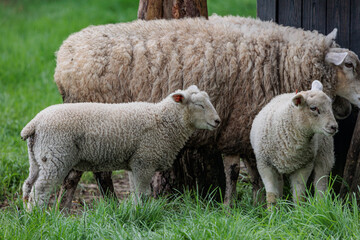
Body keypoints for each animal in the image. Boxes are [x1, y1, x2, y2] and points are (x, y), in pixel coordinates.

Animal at [21, 85, 219, 210]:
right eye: (199, 105)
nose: (218, 121)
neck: (164, 120)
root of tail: (34, 123)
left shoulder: (135, 163)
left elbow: (136, 192)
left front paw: (136, 210)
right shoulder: (145, 161)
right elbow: (143, 193)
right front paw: (141, 212)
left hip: (38, 158)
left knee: (28, 185)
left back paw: (27, 215)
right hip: (55, 156)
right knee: (41, 190)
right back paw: (37, 215)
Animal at [250, 79, 338, 207]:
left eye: (330, 106)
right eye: (313, 108)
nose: (334, 127)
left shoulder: (304, 165)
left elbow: (299, 197)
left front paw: (299, 211)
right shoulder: (264, 165)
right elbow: (271, 197)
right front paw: (272, 212)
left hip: (325, 152)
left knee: (321, 181)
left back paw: (321, 204)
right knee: (280, 183)